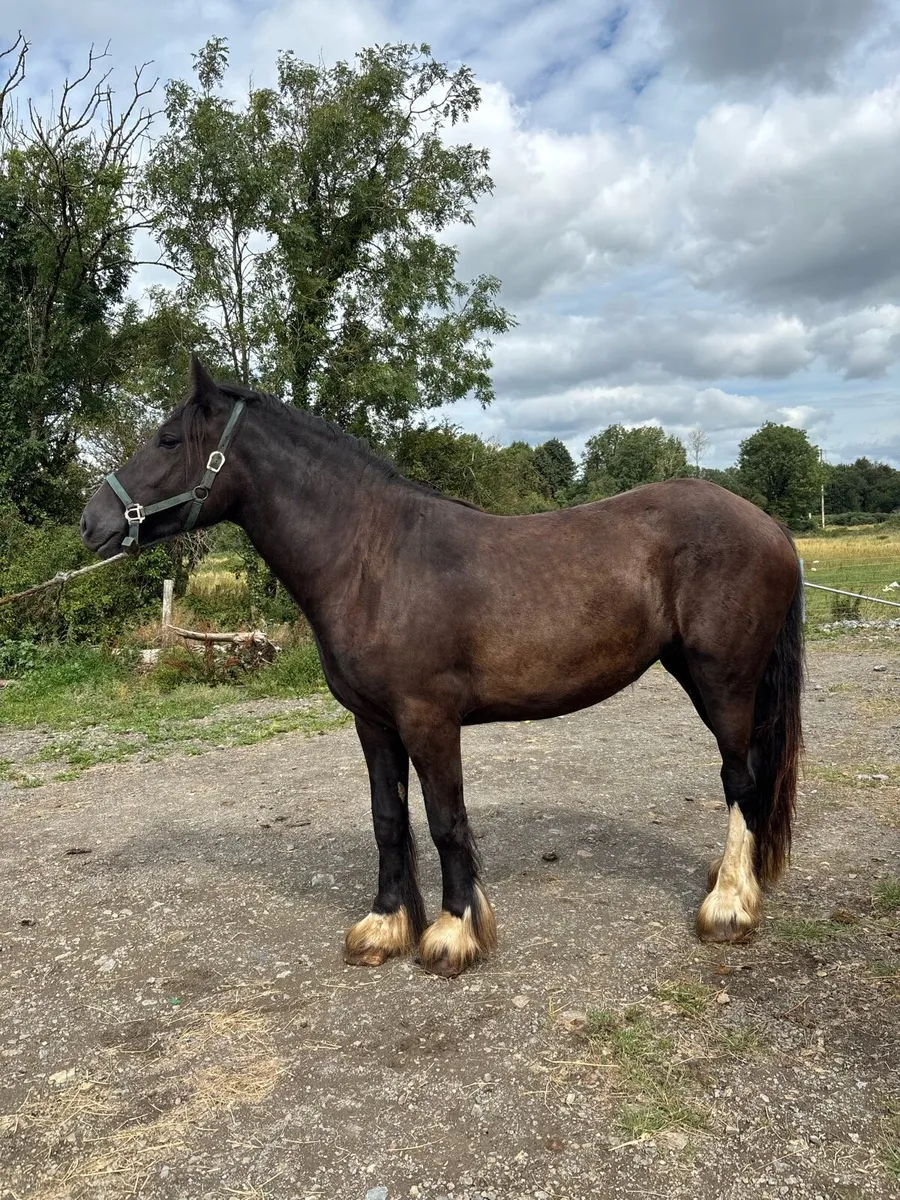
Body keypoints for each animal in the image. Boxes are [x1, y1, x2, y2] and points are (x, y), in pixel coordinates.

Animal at [81, 356, 804, 977]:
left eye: (168, 439)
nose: (92, 521)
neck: (370, 559)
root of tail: (769, 526)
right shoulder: (374, 723)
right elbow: (388, 819)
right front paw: (384, 927)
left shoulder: (429, 720)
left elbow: (445, 820)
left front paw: (453, 934)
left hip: (723, 681)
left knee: (740, 779)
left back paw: (729, 906)